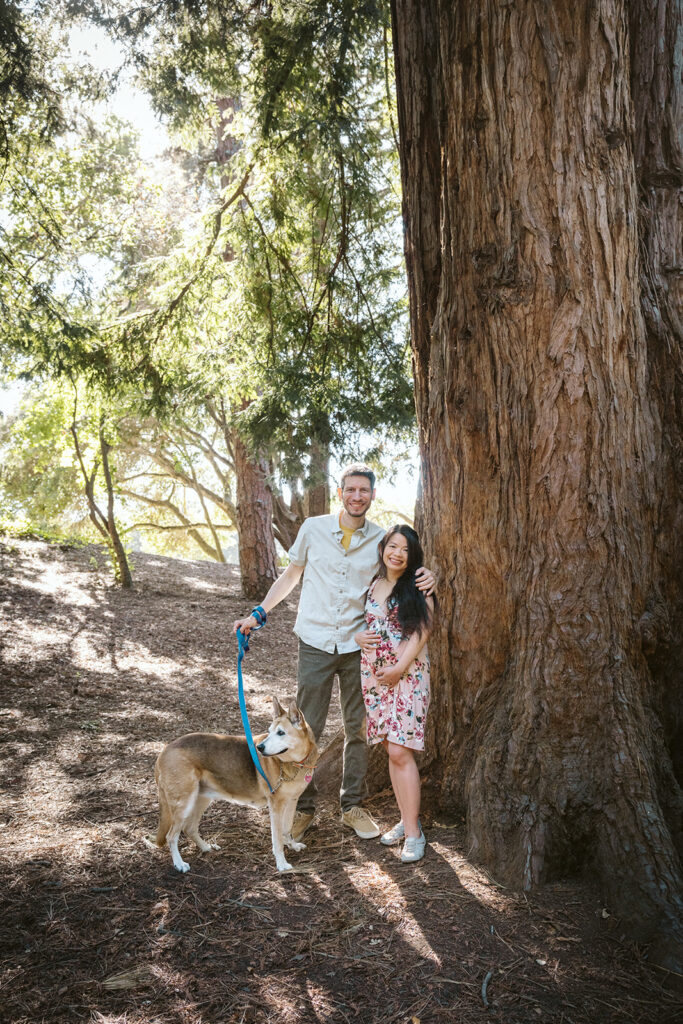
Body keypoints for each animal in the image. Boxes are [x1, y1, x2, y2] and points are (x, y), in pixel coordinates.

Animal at [148, 696, 319, 872]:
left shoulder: (292, 801)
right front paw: (281, 863)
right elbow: (277, 838)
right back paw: (179, 863)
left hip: (202, 798)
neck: (295, 763)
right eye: (270, 731)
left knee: (189, 828)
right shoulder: (276, 805)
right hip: (184, 803)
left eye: (281, 733)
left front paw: (292, 845)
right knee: (171, 835)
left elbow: (287, 829)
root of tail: (165, 750)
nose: (259, 747)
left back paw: (206, 847)